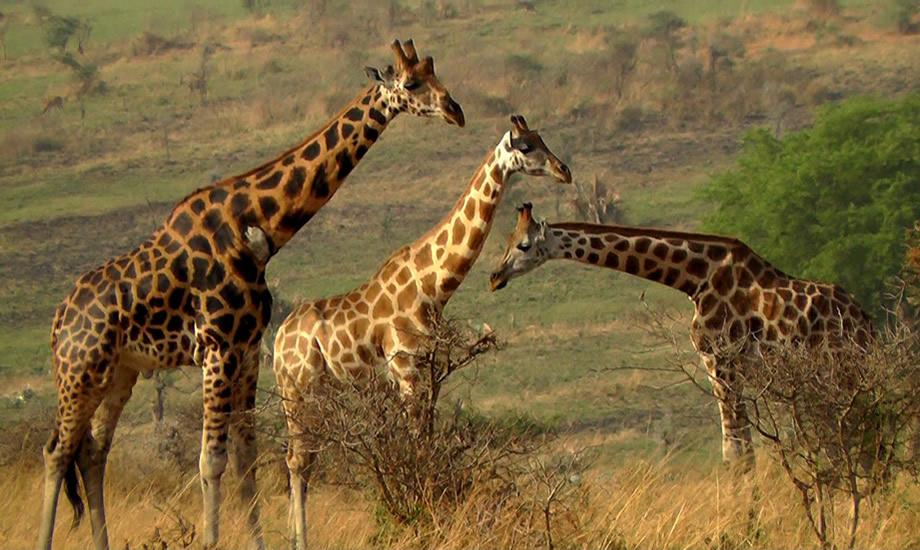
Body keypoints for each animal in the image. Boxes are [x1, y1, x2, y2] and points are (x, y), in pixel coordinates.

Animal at [37, 40, 468, 550]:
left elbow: (247, 462)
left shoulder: (245, 351)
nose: (456, 110)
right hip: (79, 372)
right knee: (56, 452)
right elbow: (211, 462)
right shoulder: (218, 349)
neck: (260, 226)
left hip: (119, 373)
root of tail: (58, 322)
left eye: (435, 74)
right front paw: (210, 540)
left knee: (92, 452)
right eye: (412, 83)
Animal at [270, 116, 572, 550]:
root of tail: (278, 339)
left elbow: (427, 438)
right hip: (299, 386)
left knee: (301, 458)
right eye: (527, 147)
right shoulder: (406, 365)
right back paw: (300, 541)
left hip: (313, 390)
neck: (432, 286)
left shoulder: (430, 366)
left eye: (542, 138)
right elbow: (415, 443)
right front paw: (420, 516)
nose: (565, 170)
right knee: (297, 457)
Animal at [488, 206, 868, 470]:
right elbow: (740, 450)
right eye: (506, 242)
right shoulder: (723, 365)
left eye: (524, 245)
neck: (696, 278)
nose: (494, 277)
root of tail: (865, 321)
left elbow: (736, 454)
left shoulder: (721, 360)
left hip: (838, 372)